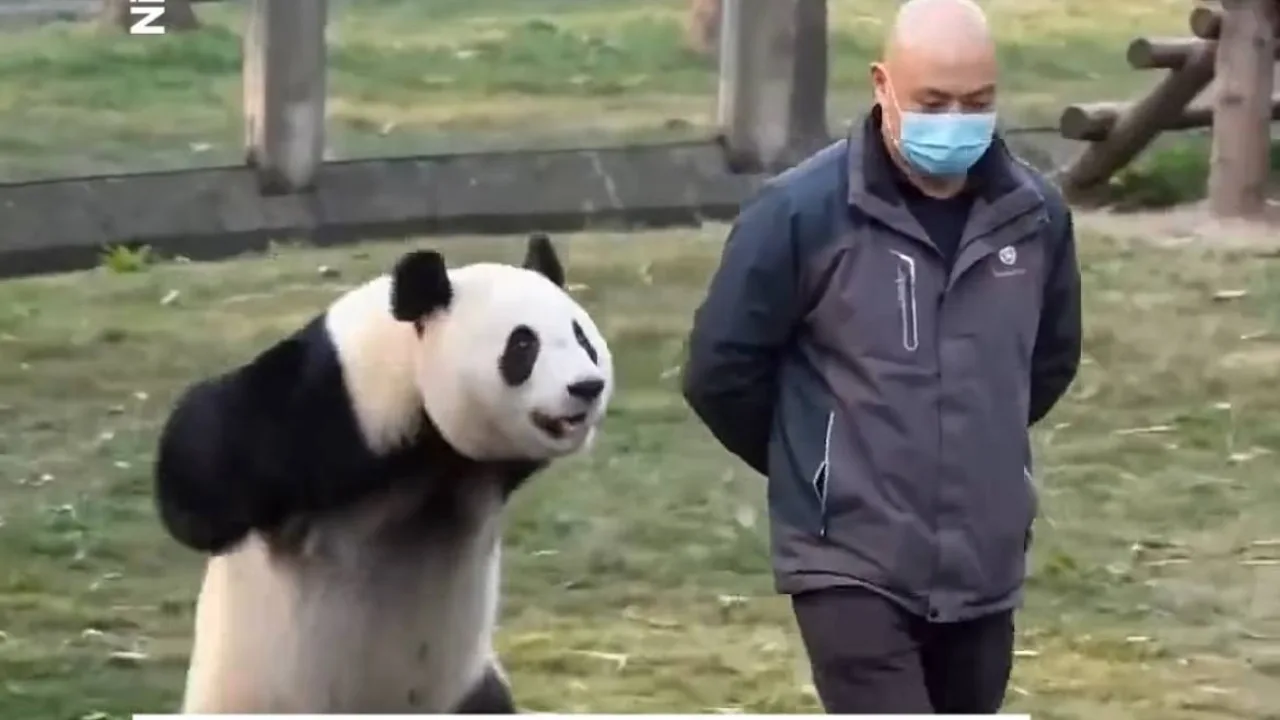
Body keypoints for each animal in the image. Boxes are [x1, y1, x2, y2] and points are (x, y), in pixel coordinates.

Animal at [153, 234, 613, 713]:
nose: (586, 386)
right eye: (523, 346)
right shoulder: (335, 394)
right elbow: (202, 470)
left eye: (582, 337)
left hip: (464, 690)